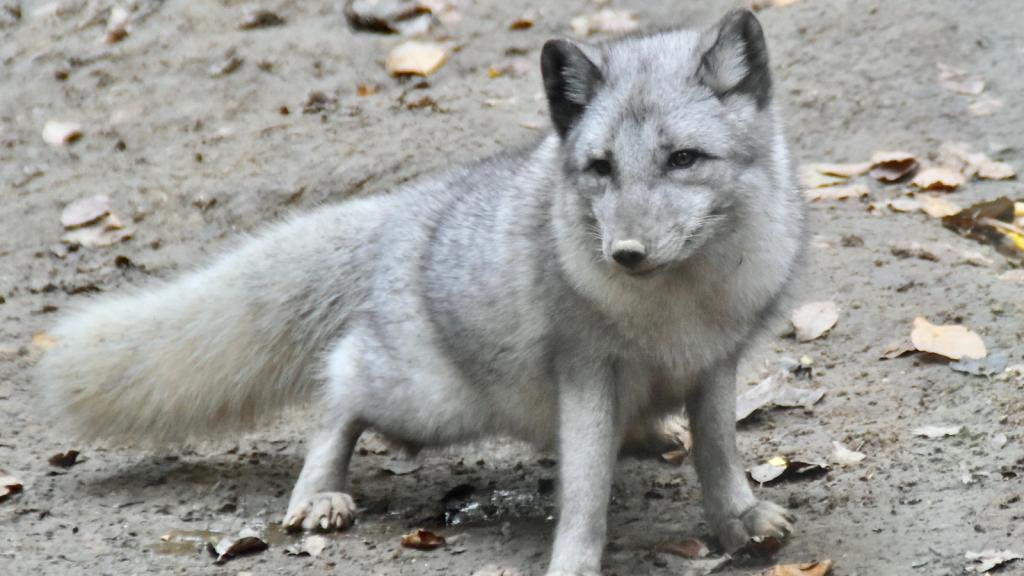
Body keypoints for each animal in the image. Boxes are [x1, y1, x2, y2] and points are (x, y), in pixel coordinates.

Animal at [36, 10, 806, 573]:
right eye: (600, 168)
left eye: (684, 159)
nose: (625, 255)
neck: (681, 306)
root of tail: (404, 207)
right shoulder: (587, 372)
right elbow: (585, 494)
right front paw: (576, 563)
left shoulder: (716, 363)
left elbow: (718, 453)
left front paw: (739, 521)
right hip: (429, 400)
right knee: (340, 387)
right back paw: (320, 491)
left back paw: (647, 432)